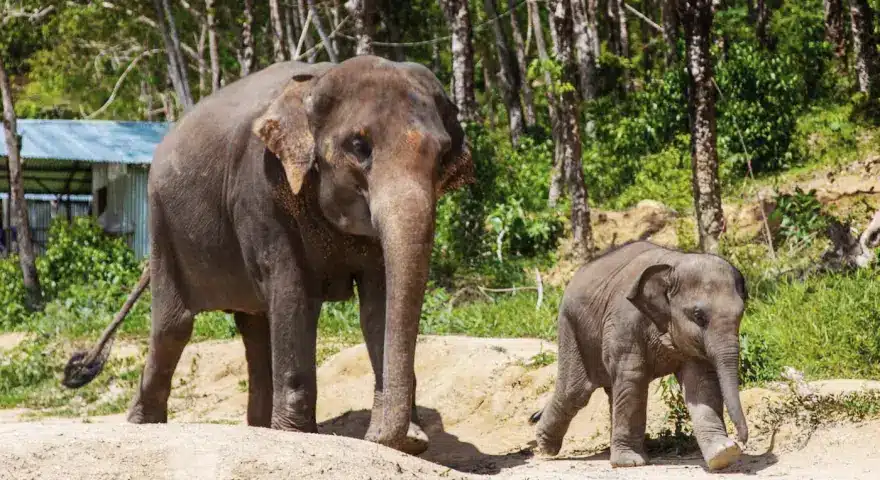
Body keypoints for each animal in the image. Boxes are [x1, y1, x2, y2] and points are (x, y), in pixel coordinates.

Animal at [61, 55, 474, 455]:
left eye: (442, 156)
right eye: (359, 147)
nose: (379, 438)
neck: (315, 87)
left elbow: (380, 300)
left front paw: (410, 442)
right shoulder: (259, 192)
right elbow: (292, 293)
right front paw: (300, 436)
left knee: (255, 328)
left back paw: (259, 428)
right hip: (163, 224)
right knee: (173, 326)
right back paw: (144, 424)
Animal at [529, 241, 749, 470]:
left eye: (742, 312)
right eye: (699, 316)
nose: (741, 440)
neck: (673, 264)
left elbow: (700, 381)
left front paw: (723, 454)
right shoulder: (625, 322)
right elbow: (633, 378)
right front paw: (630, 463)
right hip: (572, 330)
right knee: (574, 392)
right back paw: (545, 447)